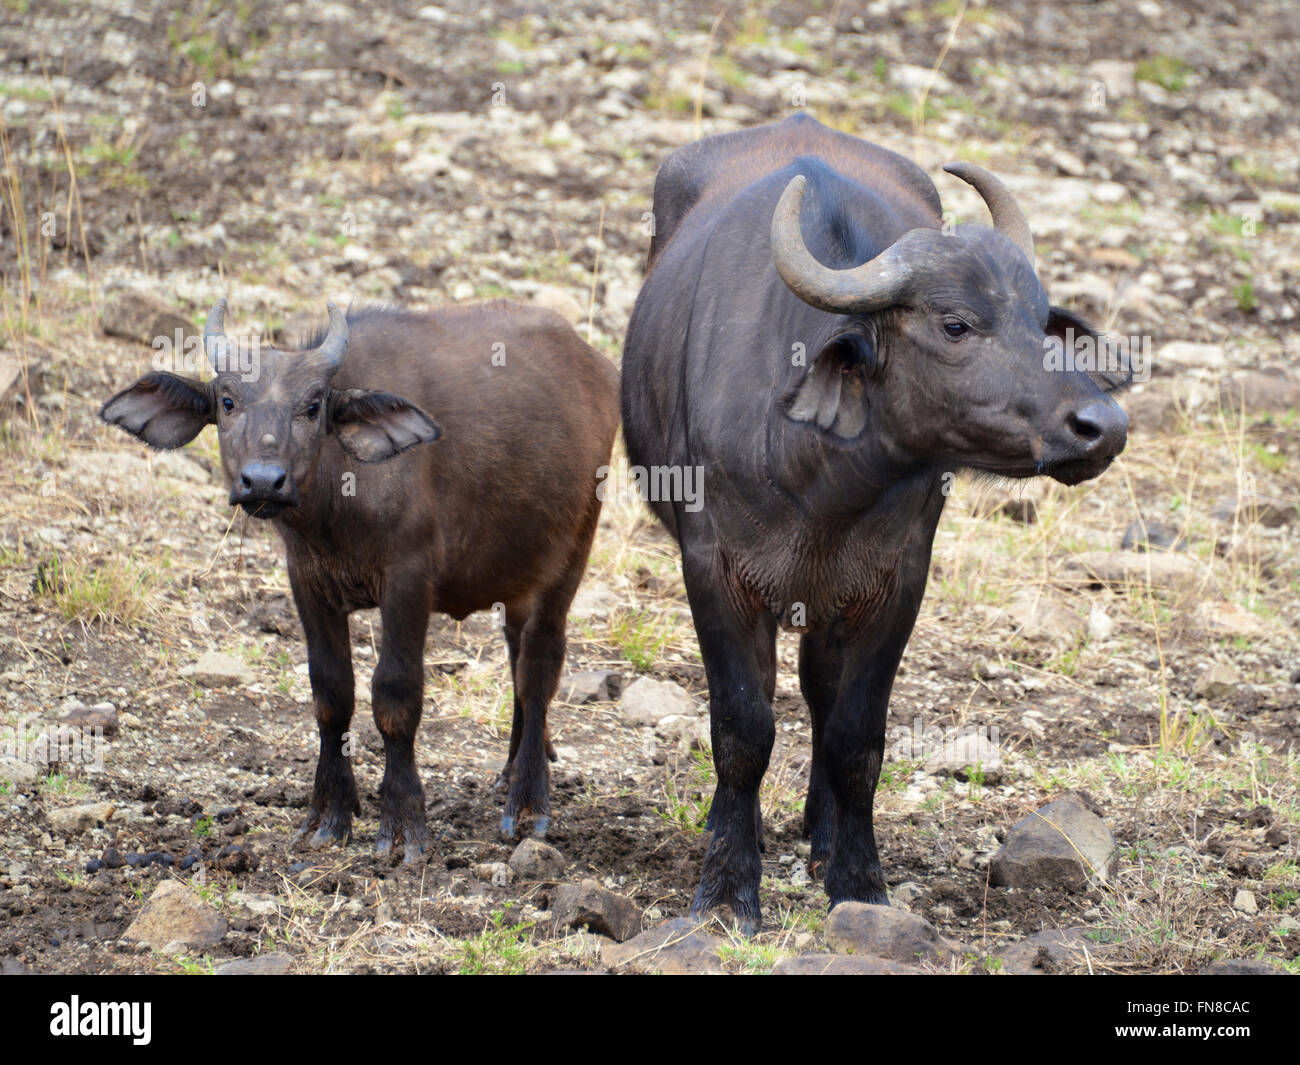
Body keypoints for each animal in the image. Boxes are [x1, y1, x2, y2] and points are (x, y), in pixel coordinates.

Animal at [618, 112, 1128, 931]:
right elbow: (741, 729)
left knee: (820, 692)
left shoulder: (894, 579)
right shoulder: (713, 569)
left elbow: (857, 736)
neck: (822, 484)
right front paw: (728, 887)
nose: (1101, 425)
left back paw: (821, 831)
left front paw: (856, 880)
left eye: (1038, 320)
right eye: (955, 323)